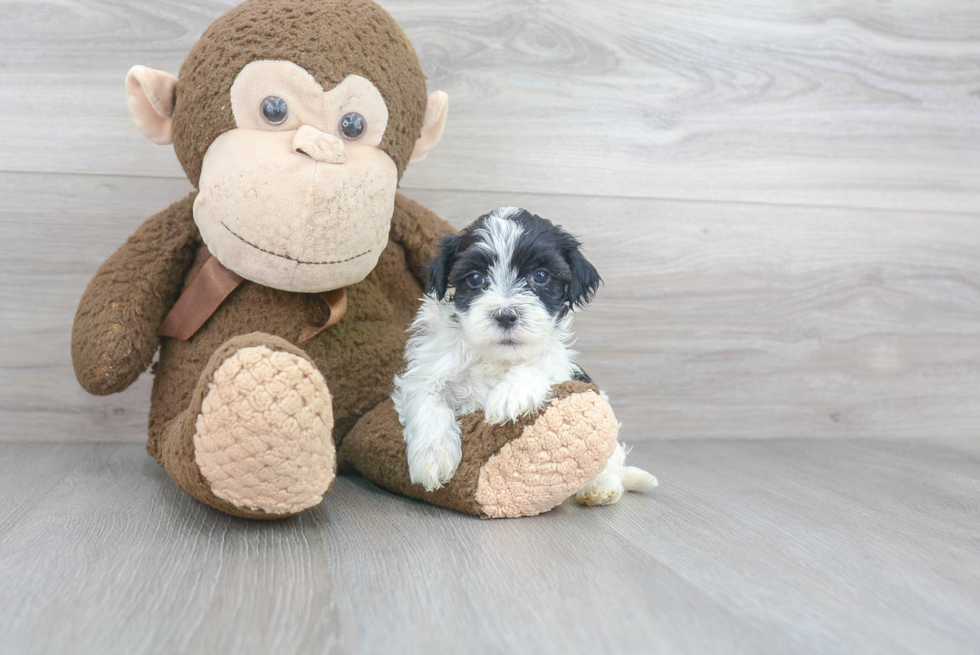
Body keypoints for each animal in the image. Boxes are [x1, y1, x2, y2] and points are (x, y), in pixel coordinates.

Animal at [392, 208, 660, 504]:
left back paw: (600, 487)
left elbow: (539, 363)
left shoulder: (562, 366)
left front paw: (510, 394)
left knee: (610, 462)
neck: (498, 358)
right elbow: (428, 399)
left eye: (540, 276)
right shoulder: (427, 368)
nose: (506, 315)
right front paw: (433, 458)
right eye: (475, 278)